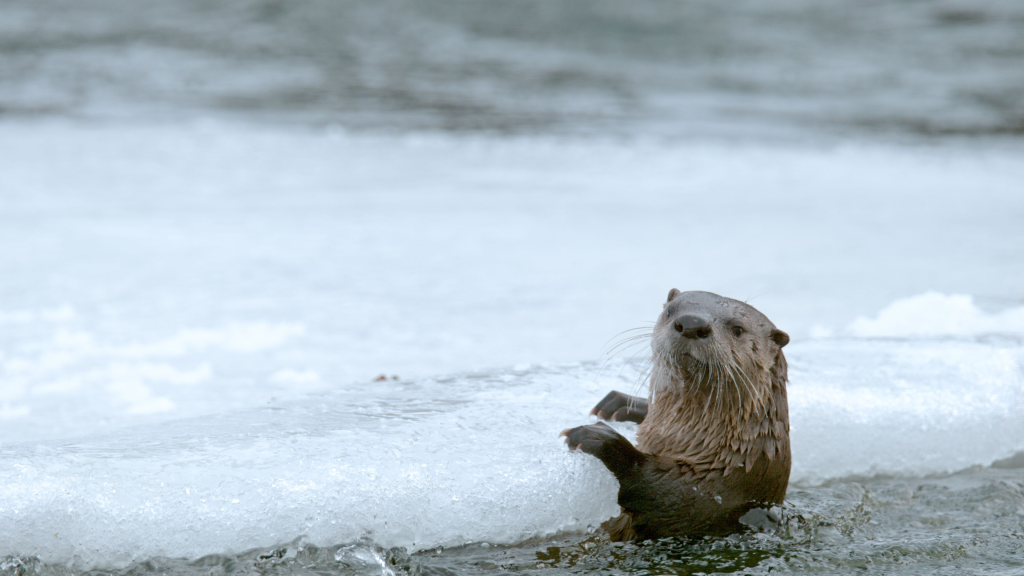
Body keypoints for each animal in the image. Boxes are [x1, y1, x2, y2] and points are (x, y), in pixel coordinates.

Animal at [561, 289, 790, 541]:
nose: (691, 323)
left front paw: (600, 438)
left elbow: (666, 497)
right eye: (670, 311)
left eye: (738, 329)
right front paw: (622, 404)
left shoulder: (722, 489)